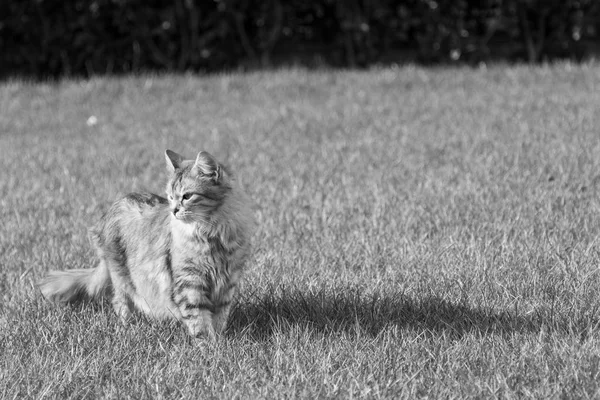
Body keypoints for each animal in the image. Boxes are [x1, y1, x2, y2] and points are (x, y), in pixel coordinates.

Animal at [37, 150, 253, 340]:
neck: (213, 234)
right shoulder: (190, 283)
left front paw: (220, 343)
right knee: (120, 302)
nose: (174, 210)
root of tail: (115, 206)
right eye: (170, 197)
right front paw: (209, 348)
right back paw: (127, 328)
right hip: (122, 277)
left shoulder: (227, 284)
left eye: (187, 196)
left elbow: (219, 320)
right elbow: (199, 321)